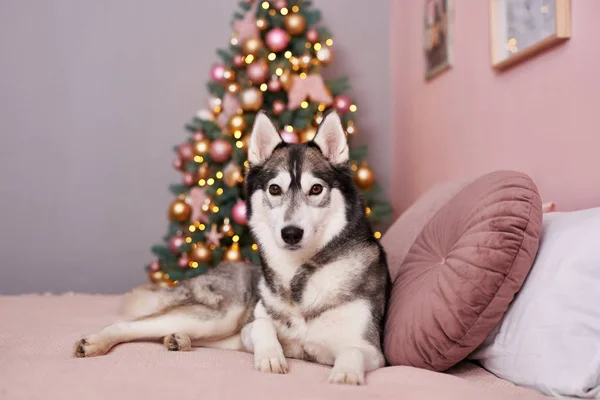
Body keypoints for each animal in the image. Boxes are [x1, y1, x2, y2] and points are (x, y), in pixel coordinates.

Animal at [74, 111, 390, 386]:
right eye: (274, 189)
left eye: (316, 189)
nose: (290, 233)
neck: (298, 276)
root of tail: (222, 265)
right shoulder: (248, 328)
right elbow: (262, 325)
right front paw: (271, 357)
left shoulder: (372, 350)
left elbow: (352, 350)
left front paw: (346, 375)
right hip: (223, 315)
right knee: (129, 324)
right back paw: (96, 342)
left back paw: (177, 339)